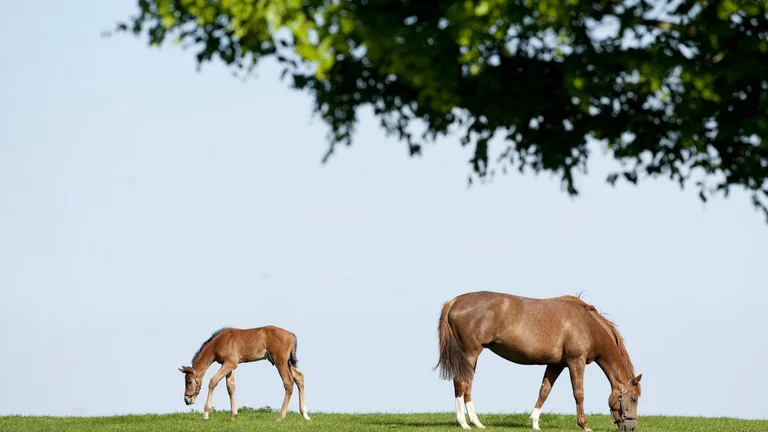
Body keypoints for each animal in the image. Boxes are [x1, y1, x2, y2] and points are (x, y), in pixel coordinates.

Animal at [178, 325, 310, 422]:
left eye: (189, 381)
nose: (186, 400)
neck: (220, 341)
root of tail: (291, 335)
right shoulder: (229, 365)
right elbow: (230, 387)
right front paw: (233, 415)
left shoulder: (230, 363)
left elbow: (213, 381)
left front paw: (206, 414)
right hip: (286, 362)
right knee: (299, 377)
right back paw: (305, 415)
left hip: (280, 361)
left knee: (288, 382)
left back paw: (280, 417)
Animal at [436, 291, 642, 431]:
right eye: (633, 398)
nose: (631, 427)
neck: (589, 326)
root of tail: (454, 301)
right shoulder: (576, 361)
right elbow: (579, 393)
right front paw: (584, 425)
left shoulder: (556, 364)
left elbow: (544, 391)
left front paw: (535, 423)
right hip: (469, 353)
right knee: (461, 383)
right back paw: (464, 423)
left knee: (467, 385)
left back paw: (476, 422)